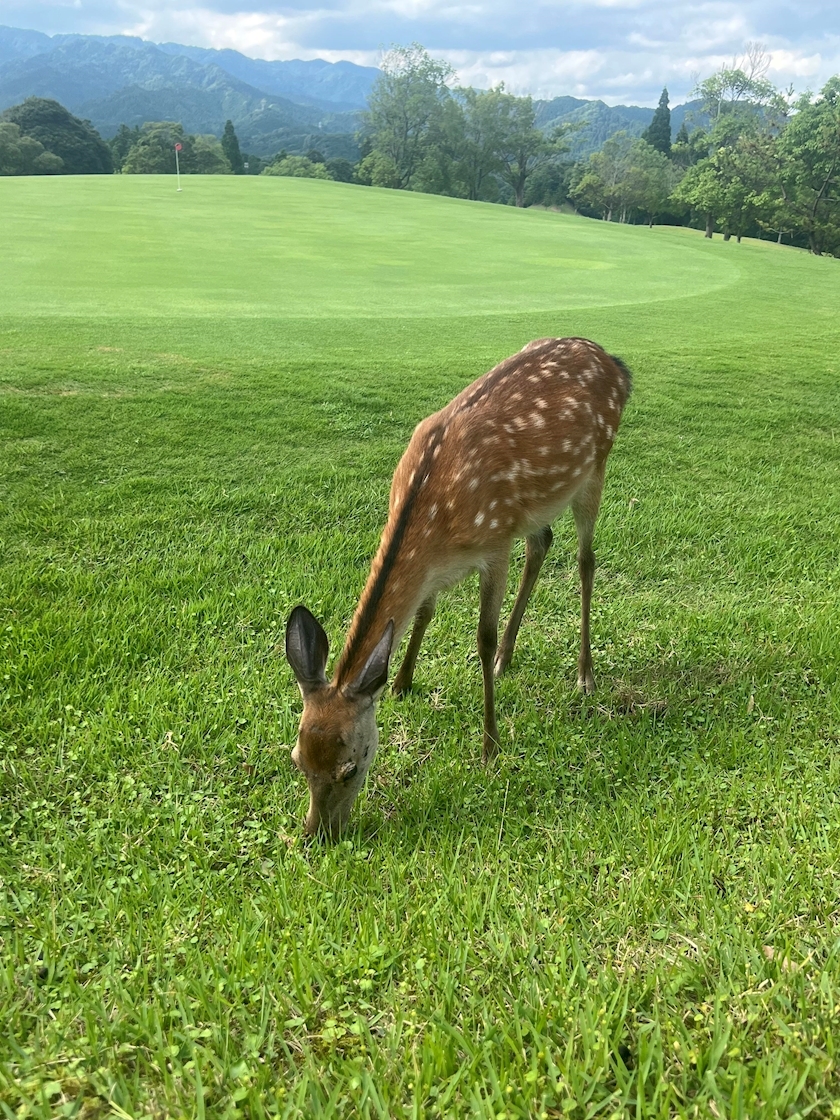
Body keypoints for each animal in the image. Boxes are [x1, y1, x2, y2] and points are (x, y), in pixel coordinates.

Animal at [284, 336, 631, 837]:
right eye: (297, 760)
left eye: (351, 768)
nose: (317, 834)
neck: (436, 521)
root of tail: (616, 363)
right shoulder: (442, 565)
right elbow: (424, 612)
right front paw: (402, 682)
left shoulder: (496, 541)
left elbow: (481, 636)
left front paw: (490, 744)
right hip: (537, 508)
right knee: (542, 543)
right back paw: (509, 657)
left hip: (594, 468)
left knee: (585, 561)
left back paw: (584, 673)